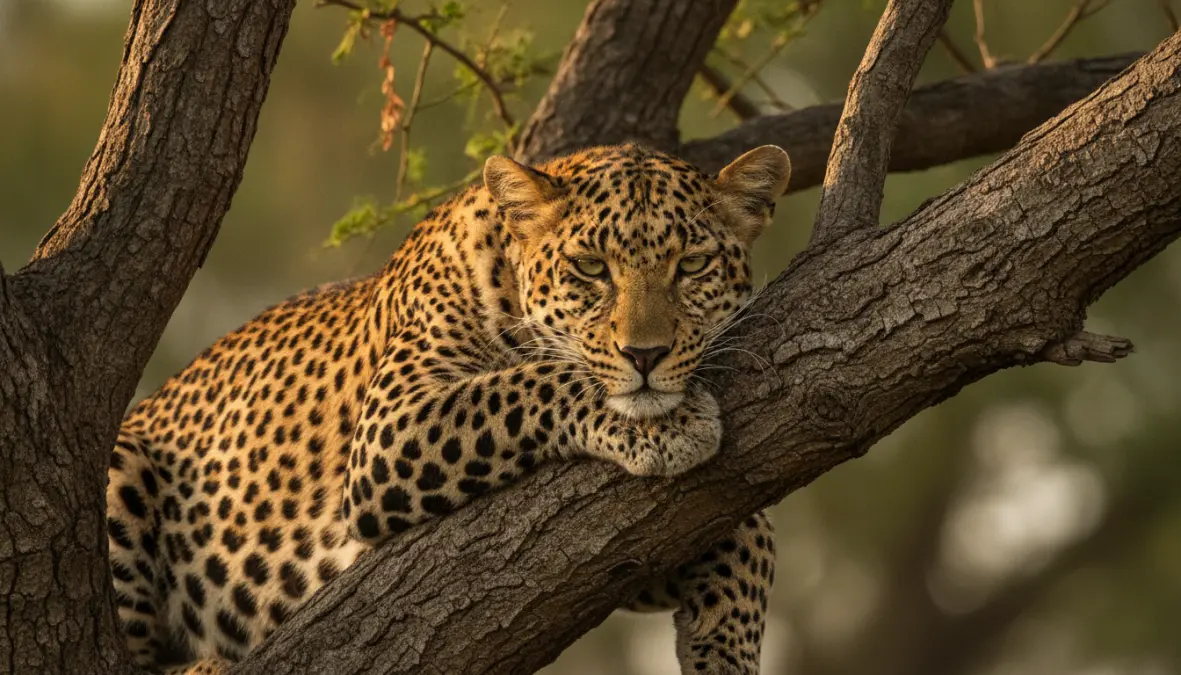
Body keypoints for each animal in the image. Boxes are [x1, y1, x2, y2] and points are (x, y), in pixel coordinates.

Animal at [106, 142, 791, 674]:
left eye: (692, 265)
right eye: (591, 268)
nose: (645, 354)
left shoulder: (630, 567)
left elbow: (753, 534)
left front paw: (726, 648)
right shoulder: (392, 424)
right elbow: (527, 382)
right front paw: (669, 425)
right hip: (120, 461)